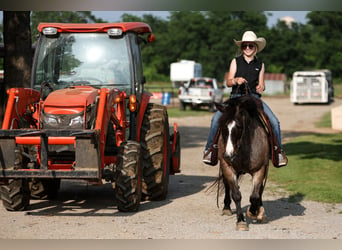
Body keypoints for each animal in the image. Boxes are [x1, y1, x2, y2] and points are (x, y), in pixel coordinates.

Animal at [215, 94, 268, 231]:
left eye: (238, 127)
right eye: (223, 127)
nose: (228, 155)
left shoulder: (260, 169)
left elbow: (255, 195)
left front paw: (254, 212)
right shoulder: (228, 168)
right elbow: (236, 195)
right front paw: (240, 221)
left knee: (259, 190)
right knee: (227, 185)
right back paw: (226, 208)